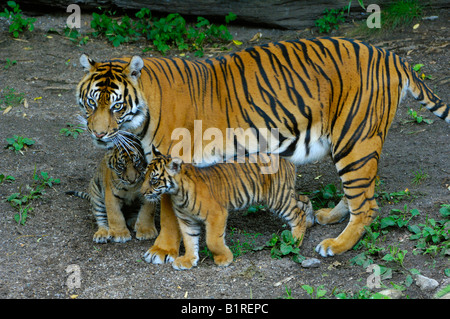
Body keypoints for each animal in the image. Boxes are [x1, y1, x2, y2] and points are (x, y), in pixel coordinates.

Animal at [75, 38, 448, 262]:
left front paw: (161, 249)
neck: (141, 118)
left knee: (367, 205)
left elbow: (167, 213)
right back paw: (327, 216)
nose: (98, 134)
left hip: (355, 139)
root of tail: (391, 56)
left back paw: (335, 244)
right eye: (92, 102)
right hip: (352, 143)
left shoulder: (172, 162)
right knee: (365, 191)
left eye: (117, 106)